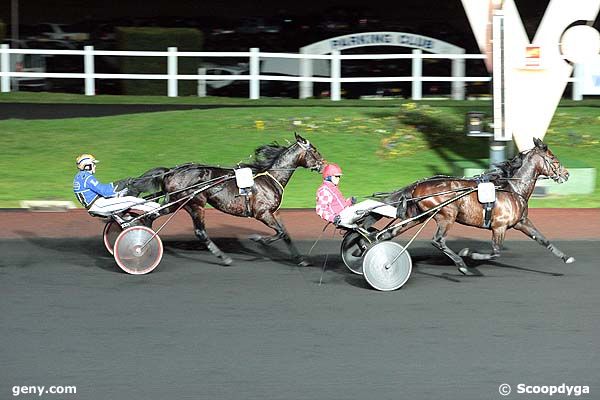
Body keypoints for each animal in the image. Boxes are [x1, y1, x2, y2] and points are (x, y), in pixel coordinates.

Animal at [120, 133, 324, 268]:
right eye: (314, 151)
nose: (323, 164)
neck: (270, 178)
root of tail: (172, 171)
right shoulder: (262, 213)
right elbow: (279, 232)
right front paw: (259, 239)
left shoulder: (275, 212)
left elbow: (286, 234)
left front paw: (301, 259)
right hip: (195, 203)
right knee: (200, 232)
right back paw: (223, 257)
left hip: (176, 203)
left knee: (151, 216)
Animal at [378, 138, 576, 276]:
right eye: (553, 158)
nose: (566, 174)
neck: (512, 188)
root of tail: (417, 185)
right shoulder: (499, 226)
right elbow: (495, 252)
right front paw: (470, 253)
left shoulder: (521, 222)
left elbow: (543, 239)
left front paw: (566, 258)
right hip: (446, 215)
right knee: (438, 240)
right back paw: (462, 265)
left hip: (419, 216)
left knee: (389, 233)